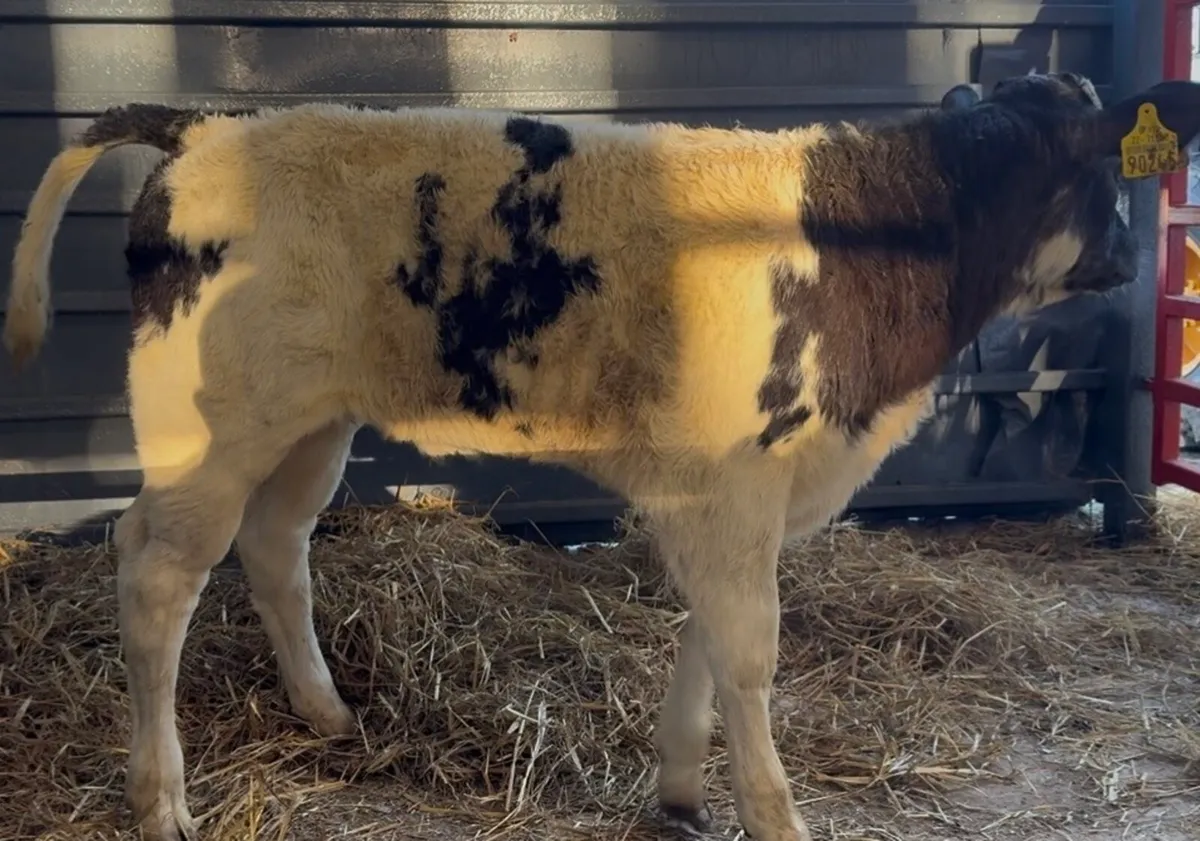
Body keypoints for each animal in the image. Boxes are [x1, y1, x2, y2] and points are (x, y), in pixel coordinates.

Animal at [6, 73, 1198, 841]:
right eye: (1108, 176)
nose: (1129, 258)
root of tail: (205, 124)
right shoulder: (740, 482)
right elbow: (750, 651)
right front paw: (776, 814)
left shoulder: (724, 490)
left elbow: (708, 634)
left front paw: (680, 788)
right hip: (211, 427)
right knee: (157, 570)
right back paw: (160, 798)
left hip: (311, 420)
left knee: (274, 546)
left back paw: (329, 713)